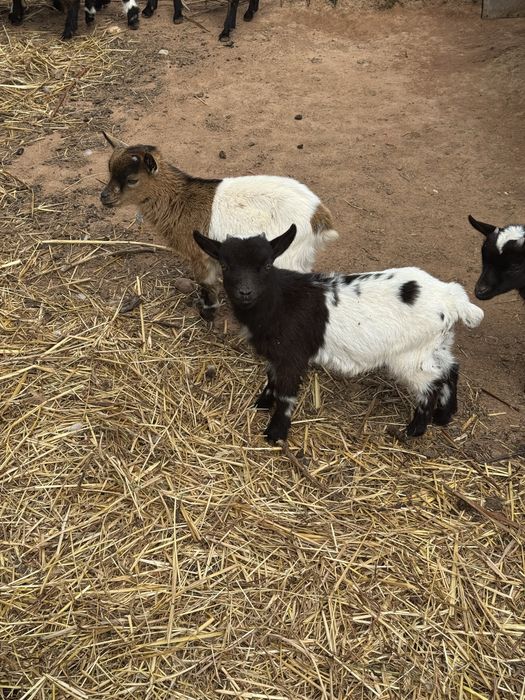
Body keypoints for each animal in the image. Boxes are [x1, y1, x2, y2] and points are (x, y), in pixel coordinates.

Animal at [100, 132, 338, 320]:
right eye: (109, 171)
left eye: (132, 180)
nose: (104, 197)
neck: (182, 201)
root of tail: (318, 216)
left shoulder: (200, 255)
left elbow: (206, 283)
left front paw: (207, 312)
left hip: (287, 256)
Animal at [193, 225, 484, 443]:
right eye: (226, 266)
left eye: (266, 265)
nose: (245, 292)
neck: (279, 302)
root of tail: (451, 298)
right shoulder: (276, 355)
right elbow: (271, 379)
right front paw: (261, 404)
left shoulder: (292, 355)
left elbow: (286, 393)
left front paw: (275, 433)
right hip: (437, 343)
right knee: (451, 370)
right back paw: (444, 416)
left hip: (411, 355)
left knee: (432, 383)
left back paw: (414, 429)